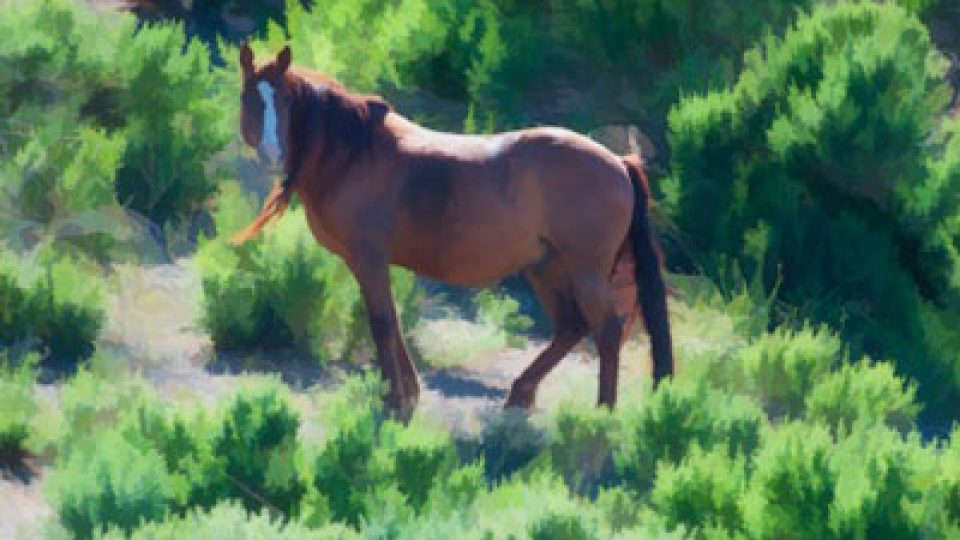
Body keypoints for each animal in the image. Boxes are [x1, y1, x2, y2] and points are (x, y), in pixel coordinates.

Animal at [233, 44, 673, 415]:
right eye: (249, 98)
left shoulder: (368, 258)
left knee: (606, 331)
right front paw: (409, 392)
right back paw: (521, 393)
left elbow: (381, 324)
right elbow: (393, 321)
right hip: (546, 267)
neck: (354, 153)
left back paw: (602, 413)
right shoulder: (373, 264)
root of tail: (619, 162)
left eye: (285, 100)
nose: (272, 154)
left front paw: (395, 400)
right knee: (571, 327)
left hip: (584, 271)